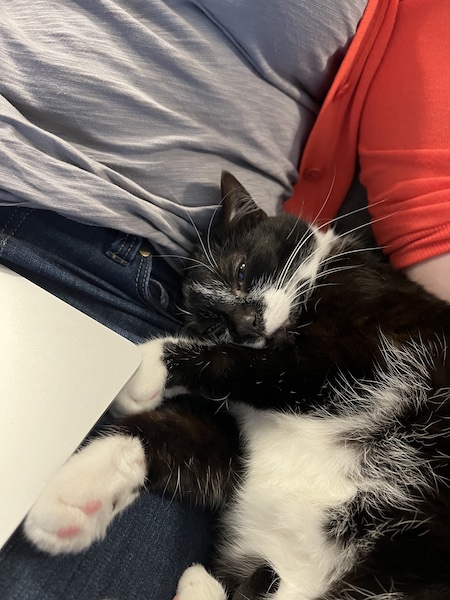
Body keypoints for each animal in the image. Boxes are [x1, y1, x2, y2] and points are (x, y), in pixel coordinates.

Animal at [23, 173, 450, 600]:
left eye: (241, 272)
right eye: (214, 322)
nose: (245, 324)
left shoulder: (350, 360)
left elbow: (240, 363)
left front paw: (146, 364)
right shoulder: (242, 446)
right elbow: (175, 432)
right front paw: (75, 495)